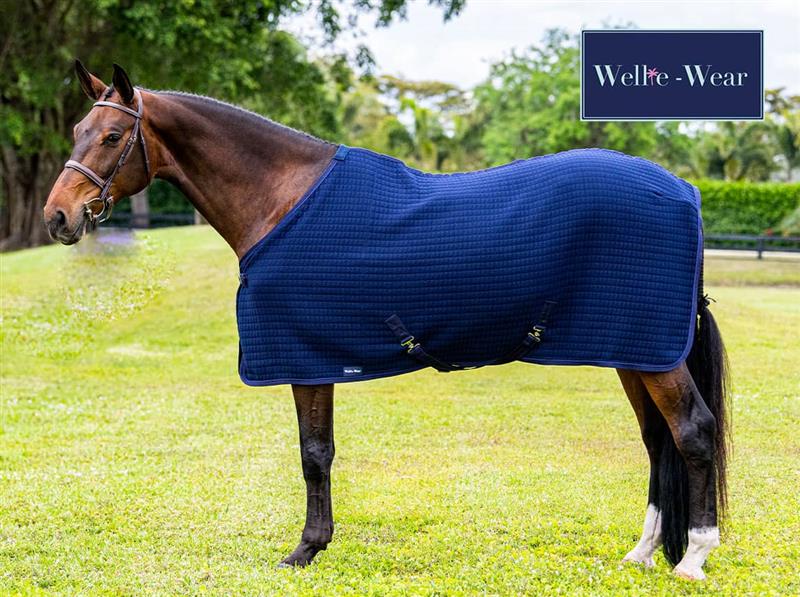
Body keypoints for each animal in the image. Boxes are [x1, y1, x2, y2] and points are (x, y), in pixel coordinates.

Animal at [43, 62, 729, 580]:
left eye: (111, 137)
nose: (57, 217)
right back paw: (643, 551)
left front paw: (305, 548)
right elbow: (319, 451)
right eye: (77, 129)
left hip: (652, 353)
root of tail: (687, 193)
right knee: (657, 440)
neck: (282, 199)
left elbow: (314, 453)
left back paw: (692, 557)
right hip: (633, 350)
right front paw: (315, 544)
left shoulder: (304, 355)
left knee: (692, 431)